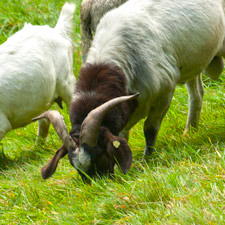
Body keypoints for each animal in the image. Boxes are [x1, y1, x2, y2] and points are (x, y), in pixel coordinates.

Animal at [33, 0, 225, 180]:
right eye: (74, 165)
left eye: (99, 155)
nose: (97, 185)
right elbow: (123, 137)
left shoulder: (163, 94)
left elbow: (150, 129)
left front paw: (147, 159)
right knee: (197, 93)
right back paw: (190, 131)